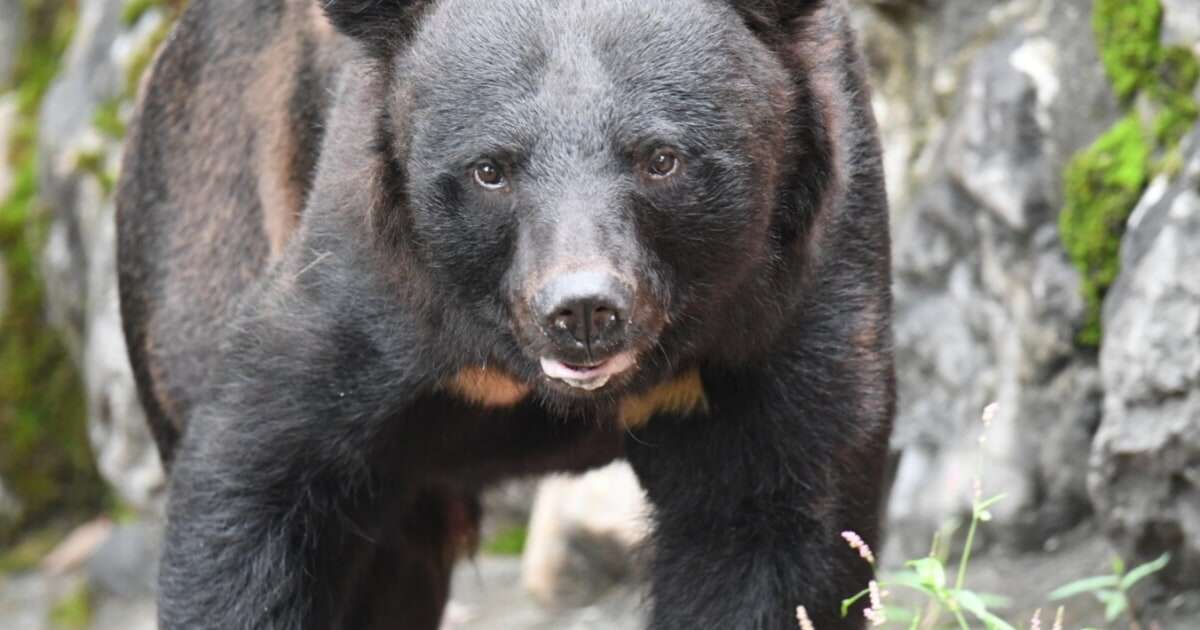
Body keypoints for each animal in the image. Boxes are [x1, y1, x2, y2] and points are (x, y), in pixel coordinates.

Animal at [117, 0, 897, 624]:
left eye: (660, 158)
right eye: (490, 169)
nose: (583, 311)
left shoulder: (789, 302)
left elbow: (776, 525)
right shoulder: (369, 283)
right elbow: (257, 463)